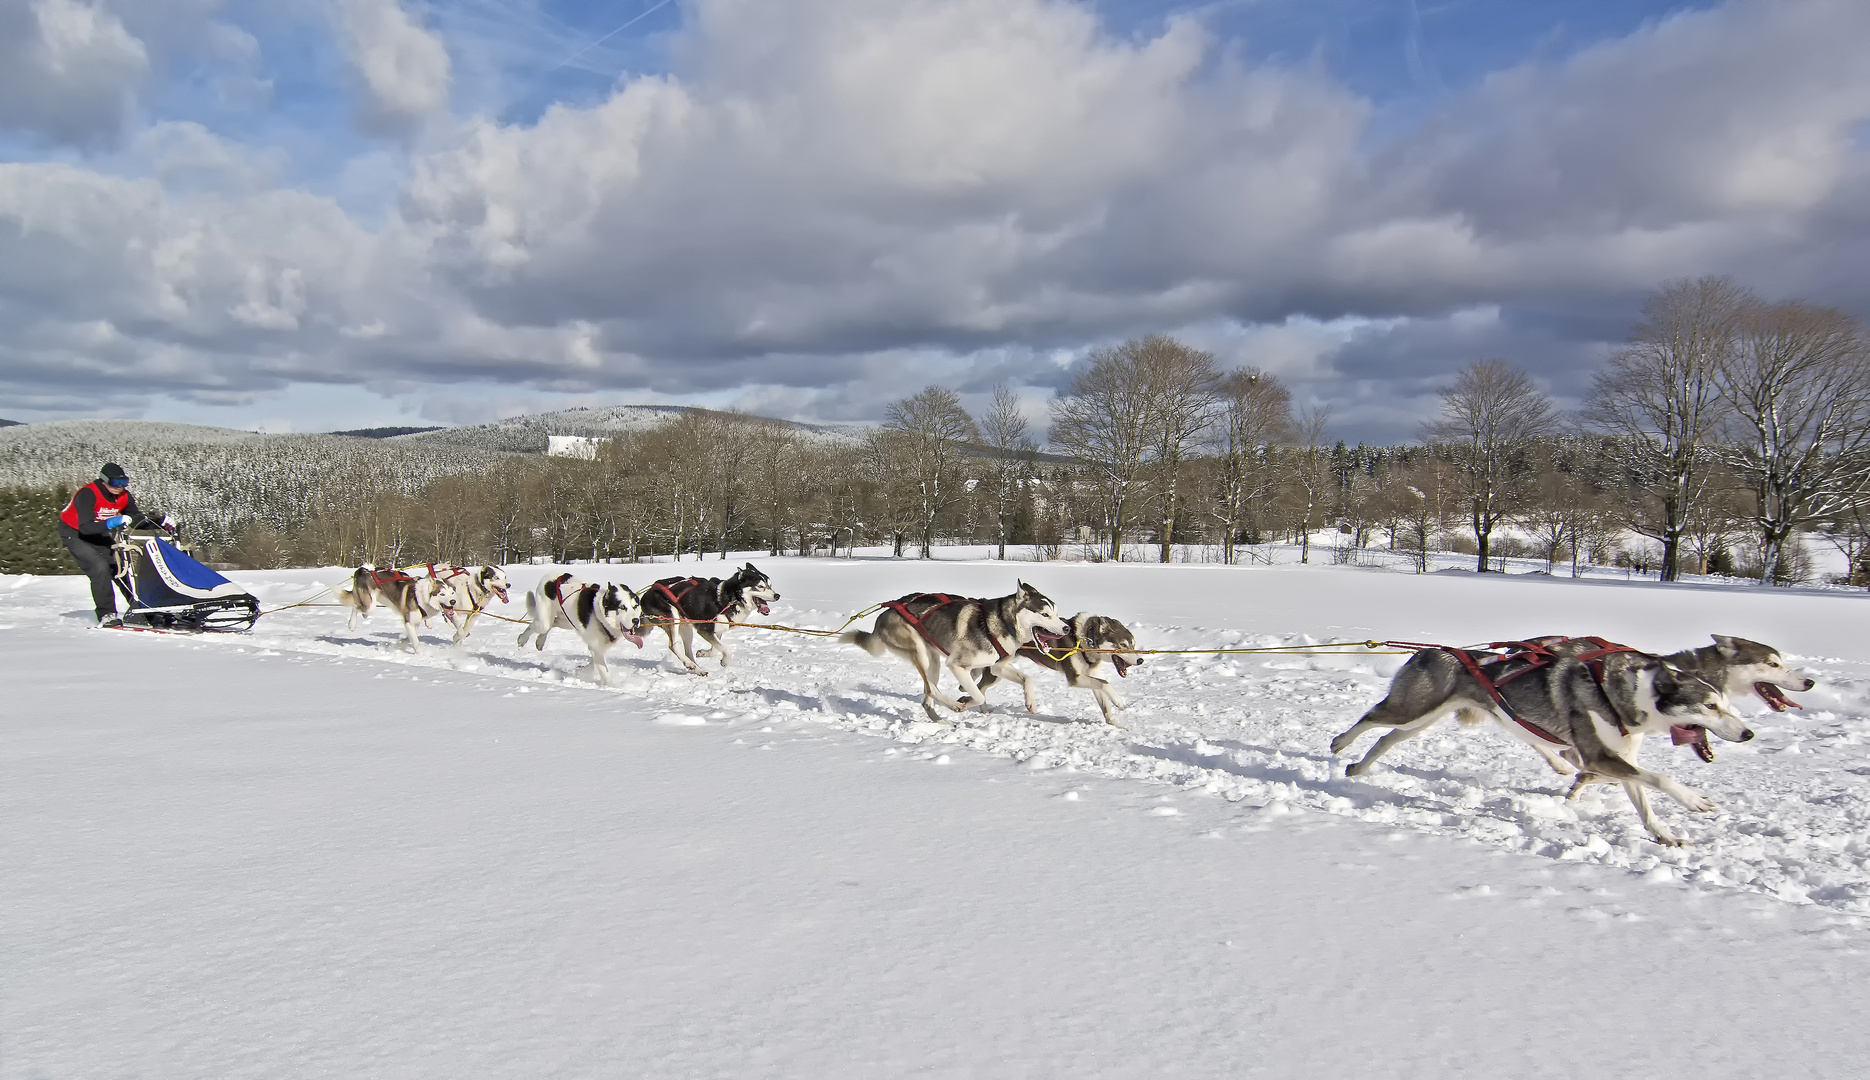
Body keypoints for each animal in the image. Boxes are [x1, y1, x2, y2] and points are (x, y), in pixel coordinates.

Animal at [516, 571, 647, 680]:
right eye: (622, 607)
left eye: (635, 606)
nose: (636, 620)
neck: (598, 614)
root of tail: (552, 576)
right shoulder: (596, 648)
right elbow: (605, 673)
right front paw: (614, 687)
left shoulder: (597, 649)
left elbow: (593, 663)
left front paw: (582, 670)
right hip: (544, 621)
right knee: (535, 625)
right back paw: (522, 639)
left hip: (565, 621)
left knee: (552, 624)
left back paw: (540, 640)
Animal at [639, 564, 777, 672]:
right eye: (760, 586)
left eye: (770, 585)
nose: (778, 595)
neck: (731, 599)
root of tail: (646, 594)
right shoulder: (704, 629)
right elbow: (726, 650)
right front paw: (725, 661)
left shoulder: (718, 630)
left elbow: (716, 649)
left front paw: (704, 653)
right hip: (673, 618)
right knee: (673, 646)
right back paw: (689, 664)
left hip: (686, 627)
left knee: (688, 652)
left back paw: (697, 669)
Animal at [845, 579, 1069, 724]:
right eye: (1045, 614)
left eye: (1057, 613)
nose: (1066, 628)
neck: (1002, 623)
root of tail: (884, 613)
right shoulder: (957, 665)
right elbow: (978, 695)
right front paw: (965, 701)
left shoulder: (996, 667)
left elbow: (1027, 679)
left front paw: (1030, 703)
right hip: (922, 653)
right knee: (931, 689)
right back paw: (953, 706)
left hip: (932, 659)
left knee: (927, 698)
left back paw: (941, 722)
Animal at [964, 612, 1136, 724]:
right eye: (1123, 645)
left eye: (1133, 644)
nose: (1140, 659)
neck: (1085, 640)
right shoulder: (1075, 678)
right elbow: (1105, 683)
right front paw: (1118, 701)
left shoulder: (1091, 675)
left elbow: (1103, 700)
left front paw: (1115, 724)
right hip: (995, 673)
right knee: (980, 687)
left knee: (980, 688)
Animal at [1331, 642, 1750, 844]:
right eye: (1710, 706)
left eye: (1725, 703)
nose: (1748, 734)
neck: (1628, 697)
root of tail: (1432, 650)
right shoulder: (1599, 755)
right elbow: (1660, 778)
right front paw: (1693, 799)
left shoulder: (1617, 758)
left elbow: (1644, 801)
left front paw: (1666, 835)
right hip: (1411, 710)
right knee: (1371, 718)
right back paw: (1339, 742)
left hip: (1420, 719)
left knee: (1385, 738)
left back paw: (1358, 767)